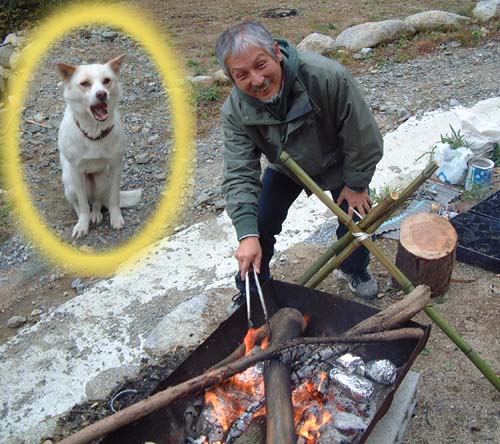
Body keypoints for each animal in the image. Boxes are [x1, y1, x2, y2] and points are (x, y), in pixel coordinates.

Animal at [56, 54, 141, 238]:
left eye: (107, 81)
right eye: (85, 83)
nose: (102, 94)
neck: (94, 133)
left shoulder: (116, 165)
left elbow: (115, 198)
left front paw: (115, 218)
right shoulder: (76, 171)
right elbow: (82, 204)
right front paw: (82, 225)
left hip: (102, 181)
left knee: (97, 201)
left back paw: (96, 214)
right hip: (70, 184)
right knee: (79, 204)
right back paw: (86, 215)